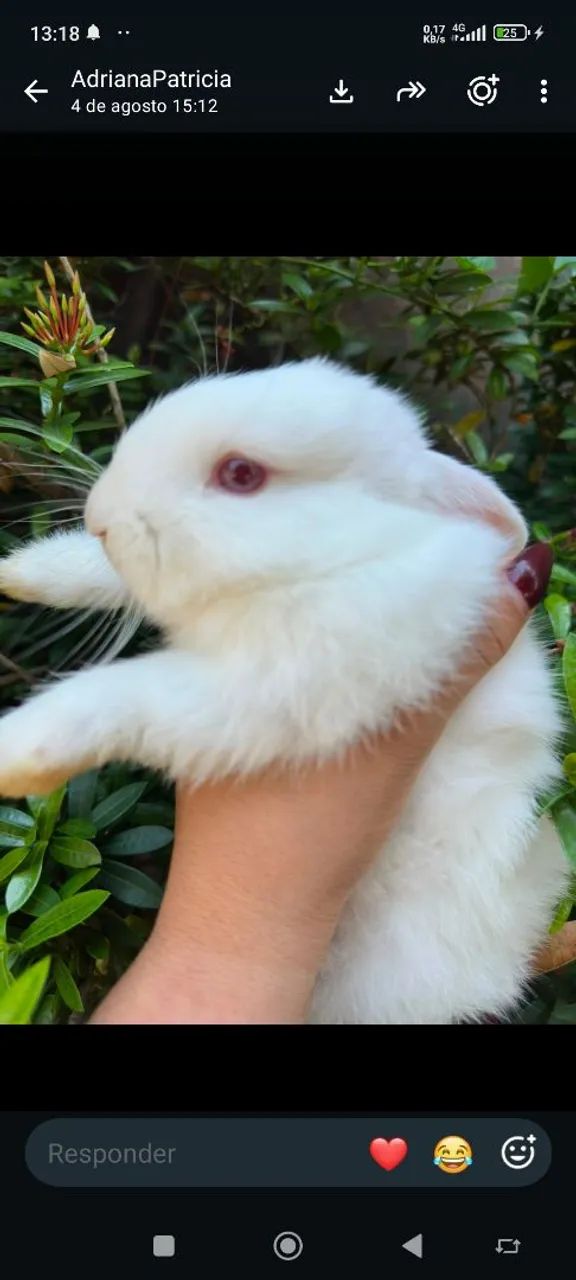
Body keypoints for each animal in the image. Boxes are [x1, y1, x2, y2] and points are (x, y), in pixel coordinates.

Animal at [0, 357, 568, 1023]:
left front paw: (17, 754)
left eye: (241, 474)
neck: (332, 563)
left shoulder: (274, 689)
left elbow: (128, 696)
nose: (99, 518)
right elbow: (100, 575)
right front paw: (21, 572)